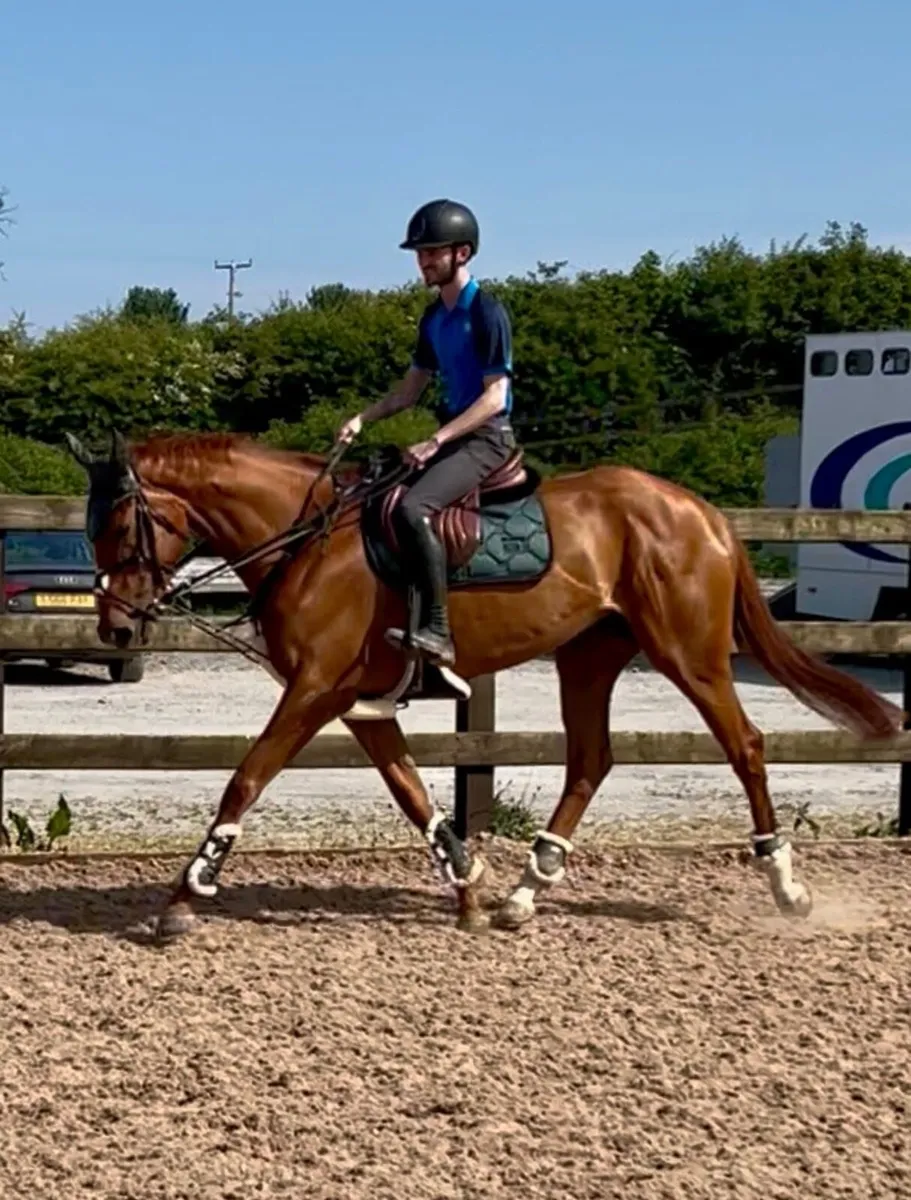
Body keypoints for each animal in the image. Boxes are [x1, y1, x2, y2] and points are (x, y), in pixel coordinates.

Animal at [63, 428, 903, 942]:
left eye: (120, 526)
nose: (115, 628)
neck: (311, 540)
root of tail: (699, 511)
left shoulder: (313, 689)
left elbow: (246, 778)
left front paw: (184, 896)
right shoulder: (355, 702)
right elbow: (413, 795)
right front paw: (467, 887)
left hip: (687, 654)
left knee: (745, 745)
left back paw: (786, 887)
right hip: (589, 657)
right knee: (590, 760)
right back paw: (524, 894)